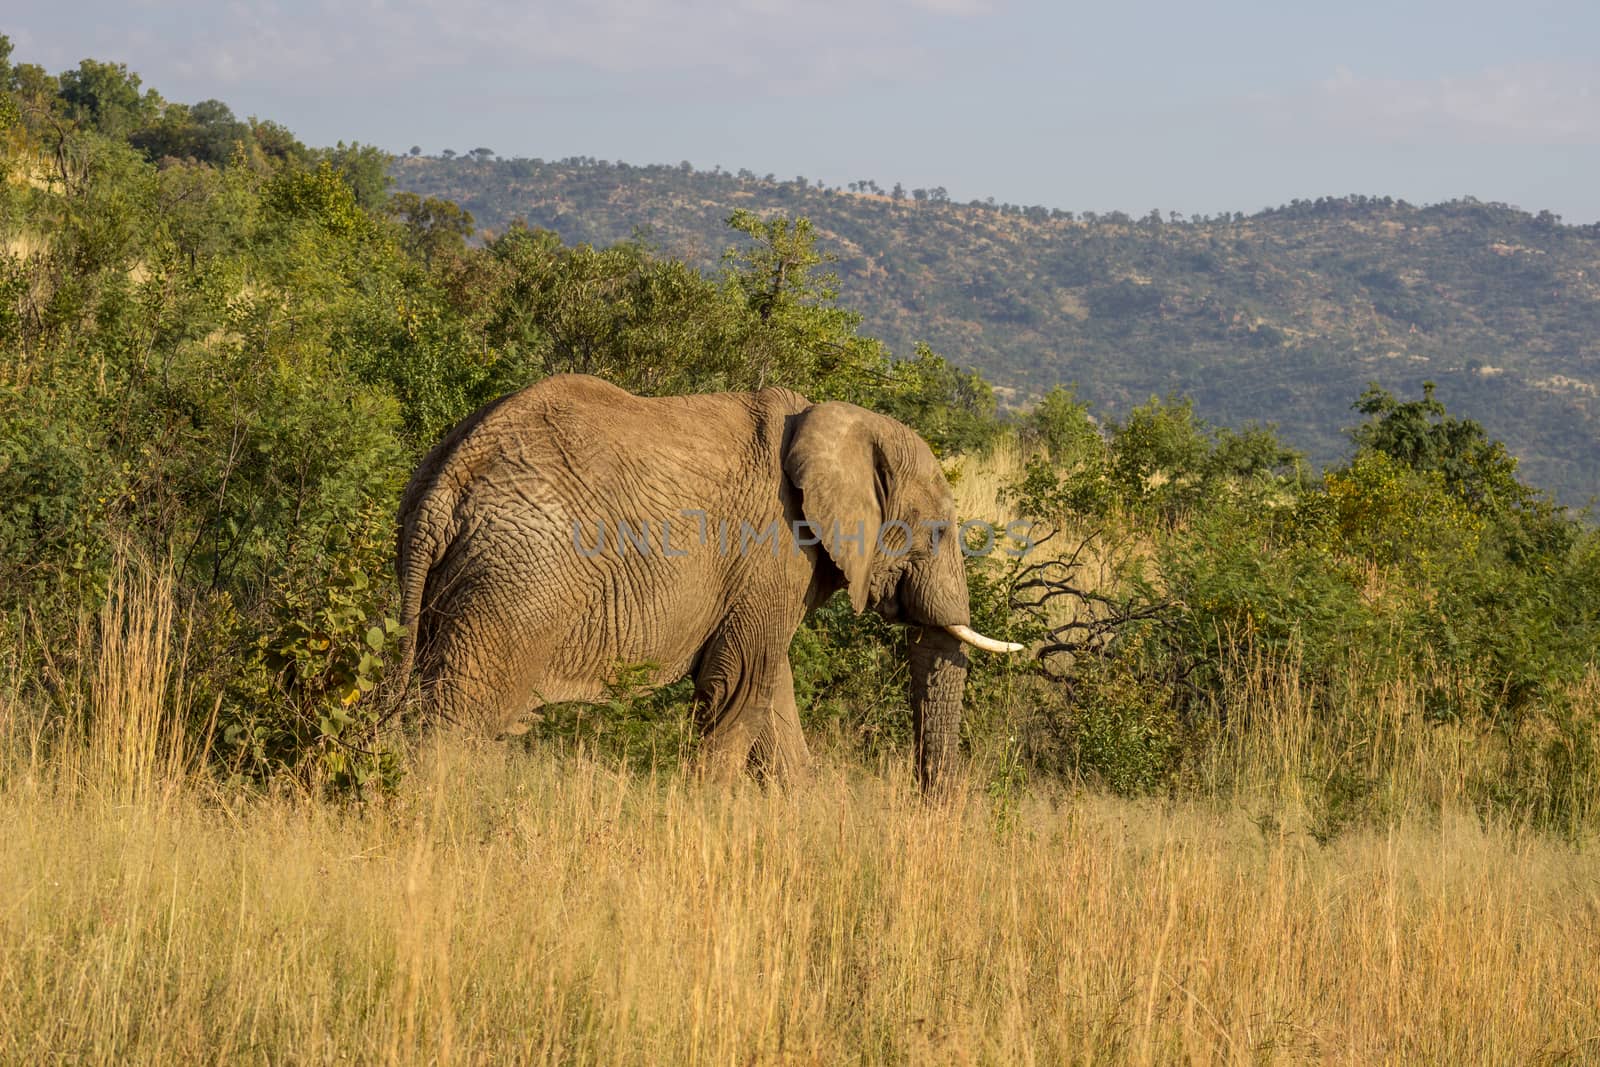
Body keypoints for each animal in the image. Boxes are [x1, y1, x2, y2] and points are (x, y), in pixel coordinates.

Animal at [393, 375, 1017, 793]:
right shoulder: (773, 549)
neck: (828, 419)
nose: (931, 806)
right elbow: (741, 685)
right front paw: (708, 808)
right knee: (458, 720)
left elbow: (770, 691)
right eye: (937, 532)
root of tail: (452, 472)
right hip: (517, 584)